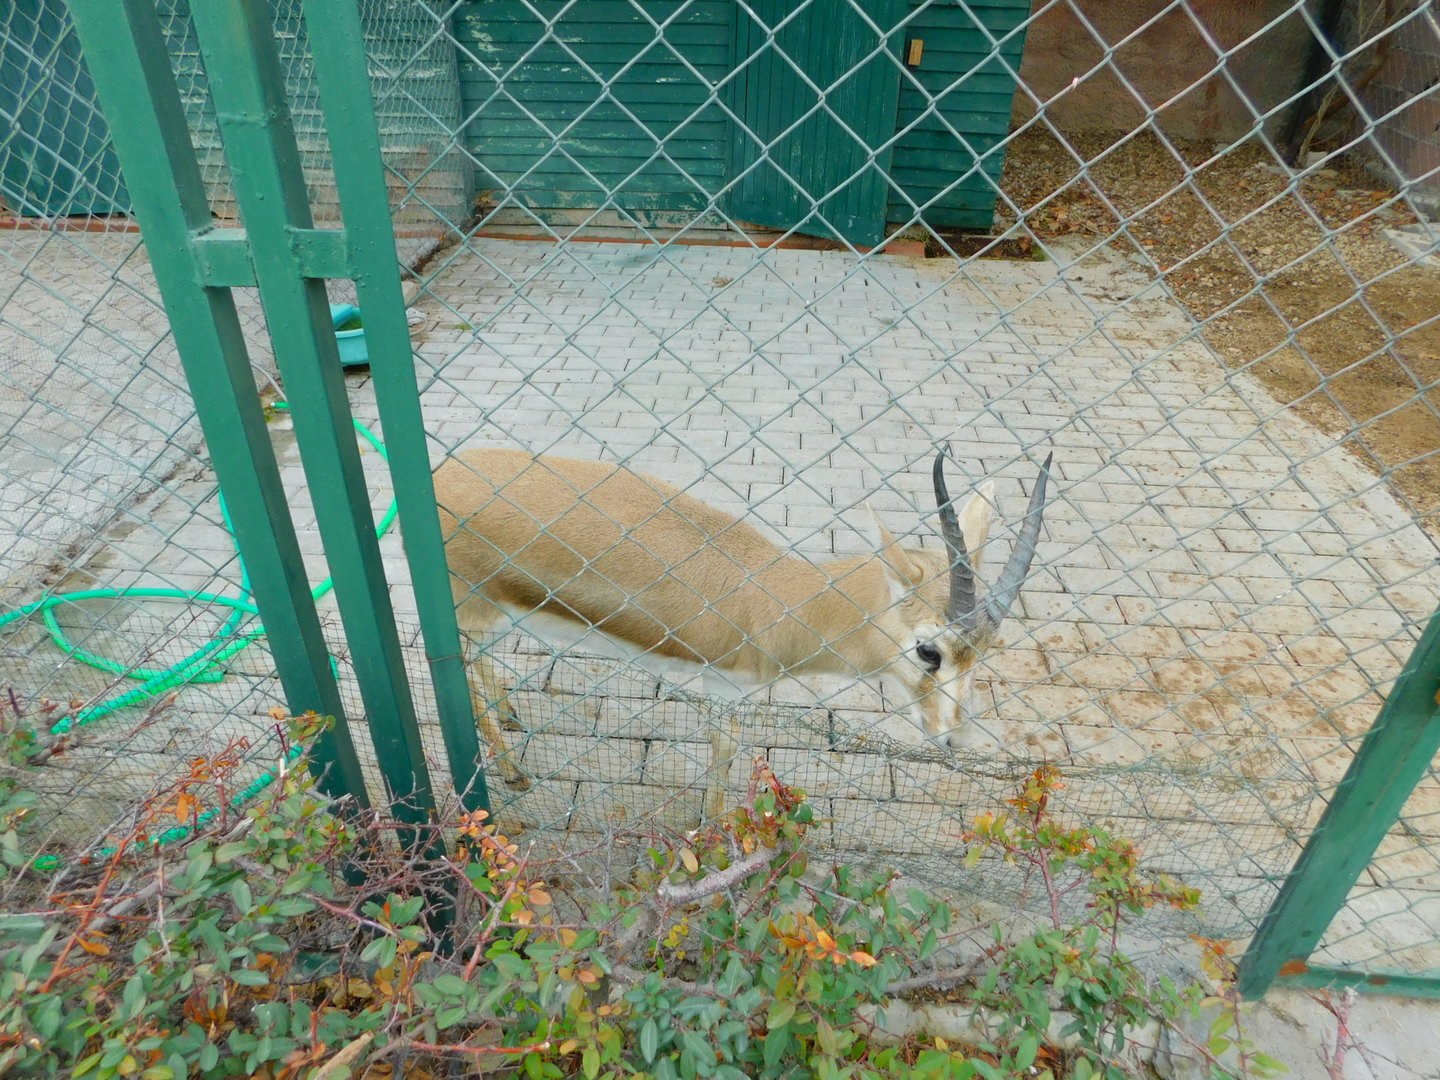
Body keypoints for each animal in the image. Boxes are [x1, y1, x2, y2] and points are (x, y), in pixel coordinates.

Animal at [434, 448, 1052, 816]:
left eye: (984, 652)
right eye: (929, 650)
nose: (952, 739)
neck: (773, 597)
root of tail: (439, 472)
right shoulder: (723, 689)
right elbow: (725, 752)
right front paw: (712, 830)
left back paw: (513, 718)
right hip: (471, 610)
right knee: (461, 668)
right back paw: (513, 773)